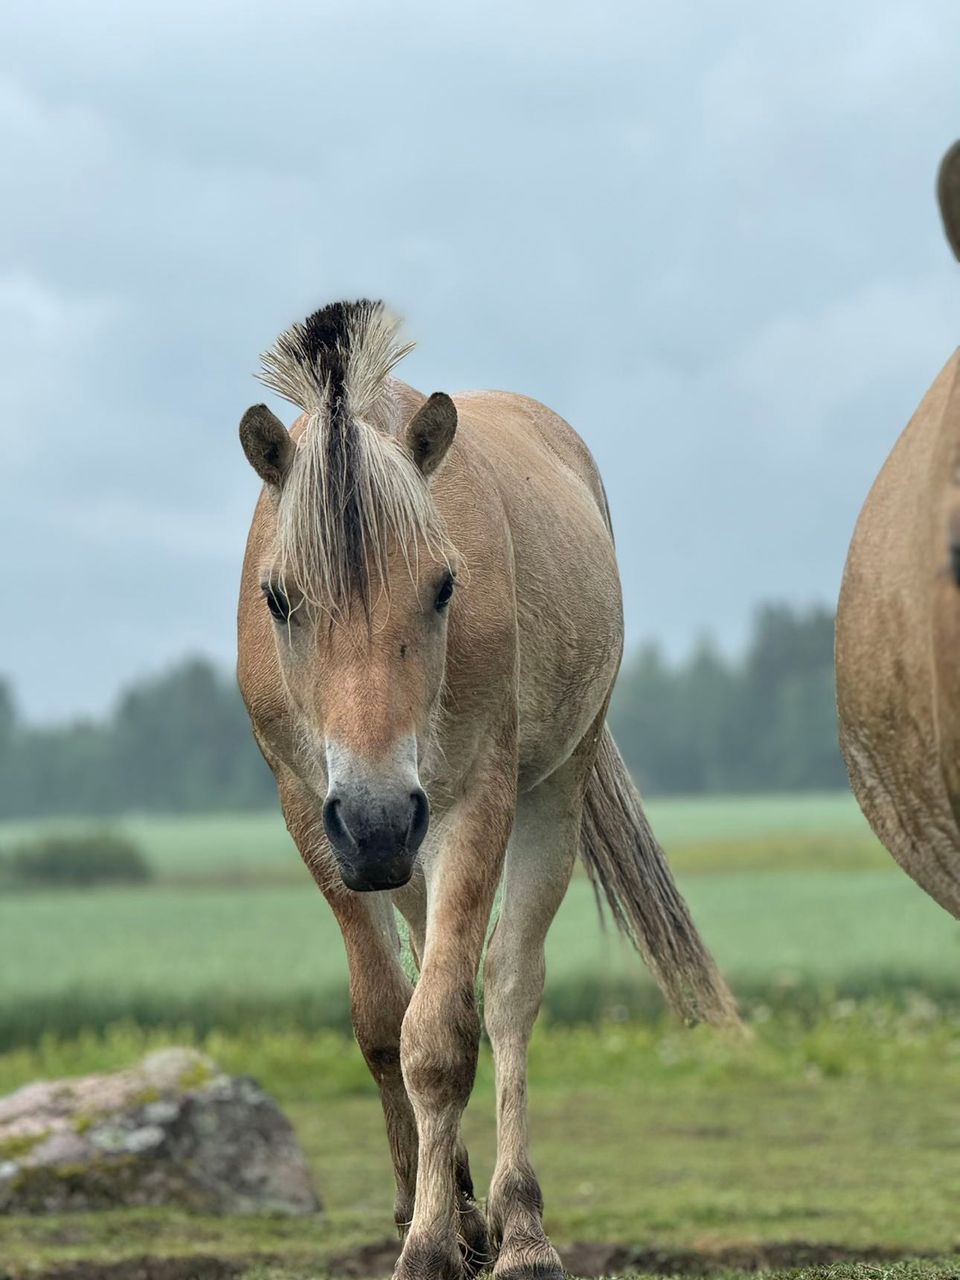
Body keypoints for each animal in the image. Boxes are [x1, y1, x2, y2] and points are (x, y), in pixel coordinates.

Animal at [236, 302, 742, 1280]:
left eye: (444, 587)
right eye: (279, 599)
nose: (377, 820)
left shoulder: (474, 804)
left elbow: (442, 1037)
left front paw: (433, 1245)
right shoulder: (311, 815)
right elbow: (384, 1021)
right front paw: (424, 1213)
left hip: (548, 791)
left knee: (508, 988)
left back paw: (519, 1226)